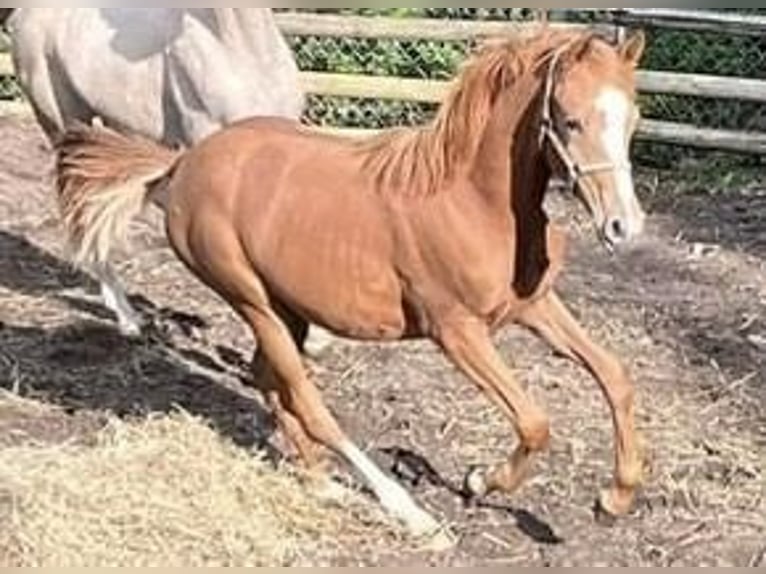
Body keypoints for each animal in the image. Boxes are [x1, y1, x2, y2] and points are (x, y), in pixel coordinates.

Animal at [57, 29, 648, 544]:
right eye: (571, 121)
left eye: (634, 118)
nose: (625, 226)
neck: (473, 202)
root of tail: (182, 163)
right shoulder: (457, 331)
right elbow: (534, 422)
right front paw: (481, 480)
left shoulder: (533, 306)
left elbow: (615, 377)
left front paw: (613, 499)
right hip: (249, 297)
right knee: (308, 401)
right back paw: (411, 515)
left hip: (286, 307)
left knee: (269, 379)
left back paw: (321, 482)